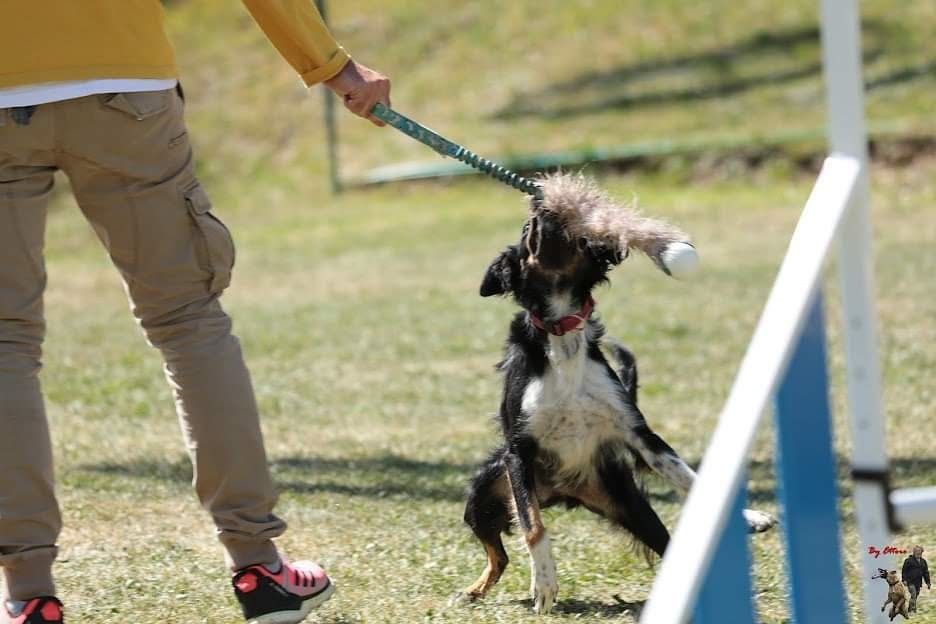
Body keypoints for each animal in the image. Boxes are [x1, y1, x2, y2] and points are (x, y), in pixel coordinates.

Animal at [456, 207, 776, 612]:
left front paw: (752, 516)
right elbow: (533, 526)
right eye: (527, 230)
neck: (563, 337)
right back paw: (473, 590)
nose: (542, 208)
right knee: (499, 555)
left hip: (632, 506)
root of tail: (563, 493)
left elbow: (688, 476)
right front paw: (544, 582)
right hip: (481, 497)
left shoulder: (639, 434)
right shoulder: (518, 452)